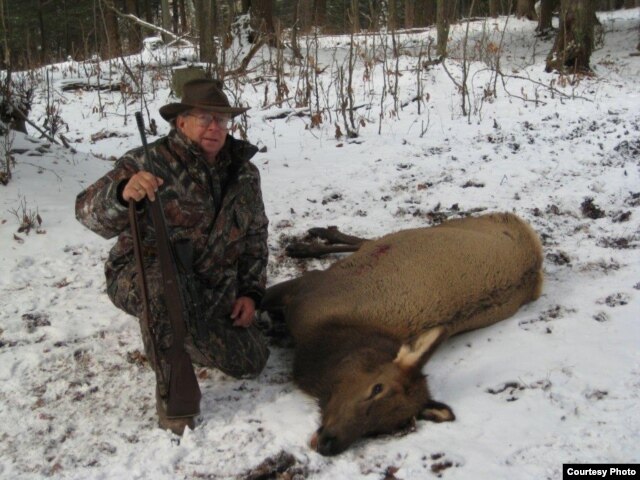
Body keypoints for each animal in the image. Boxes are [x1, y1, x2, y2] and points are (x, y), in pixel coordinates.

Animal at [262, 214, 544, 458]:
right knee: (370, 240)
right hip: (435, 228)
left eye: (385, 427)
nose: (330, 443)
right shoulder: (307, 287)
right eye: (377, 387)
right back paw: (310, 241)